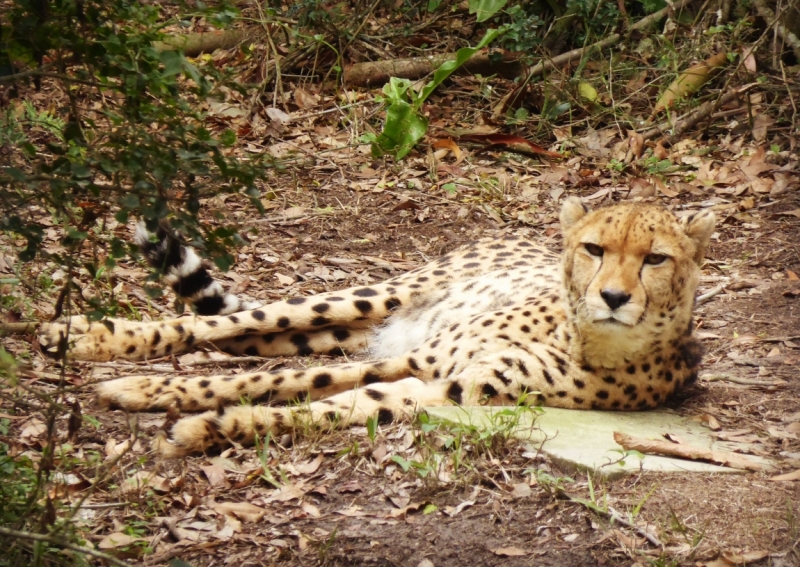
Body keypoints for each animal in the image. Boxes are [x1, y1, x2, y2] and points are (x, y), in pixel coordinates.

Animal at [37, 199, 716, 458]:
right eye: (595, 249)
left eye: (655, 259)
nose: (613, 297)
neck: (581, 335)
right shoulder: (425, 361)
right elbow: (272, 382)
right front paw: (146, 391)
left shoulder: (443, 384)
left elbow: (319, 401)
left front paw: (211, 427)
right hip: (370, 298)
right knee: (222, 323)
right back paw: (88, 335)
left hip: (341, 333)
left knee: (241, 340)